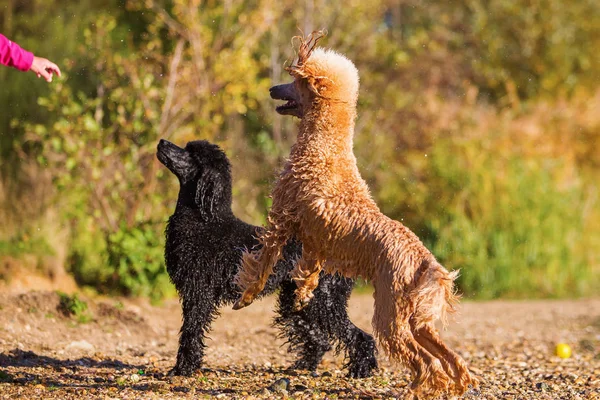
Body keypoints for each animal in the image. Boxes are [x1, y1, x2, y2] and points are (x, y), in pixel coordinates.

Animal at [157, 141, 378, 378]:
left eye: (192, 154)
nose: (162, 142)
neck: (204, 220)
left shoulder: (198, 293)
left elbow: (191, 331)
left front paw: (183, 369)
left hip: (324, 299)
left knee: (359, 336)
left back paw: (360, 370)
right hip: (298, 301)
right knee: (320, 340)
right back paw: (303, 367)